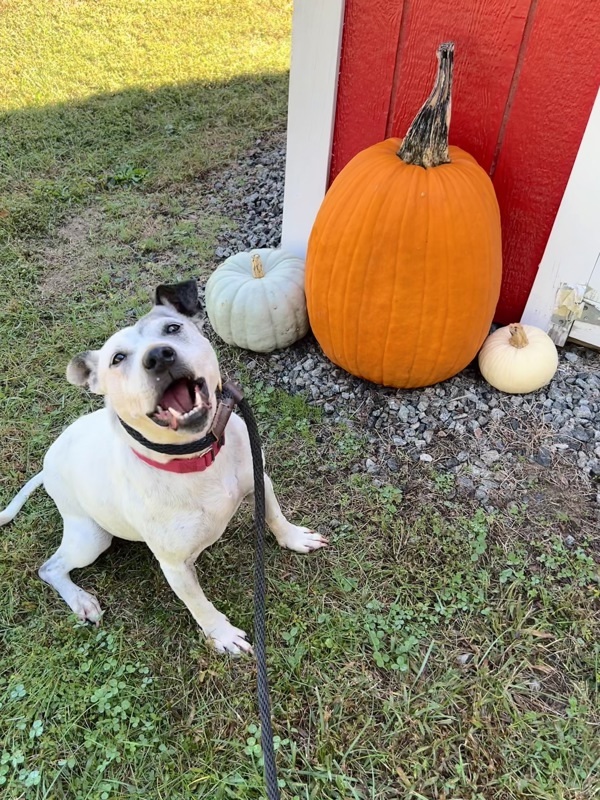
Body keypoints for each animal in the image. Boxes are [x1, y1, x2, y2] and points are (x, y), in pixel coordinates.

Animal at [0, 284, 326, 652]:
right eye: (117, 358)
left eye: (172, 328)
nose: (158, 357)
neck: (197, 456)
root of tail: (47, 464)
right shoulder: (175, 566)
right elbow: (200, 605)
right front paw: (223, 634)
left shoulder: (260, 479)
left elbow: (274, 514)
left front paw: (294, 538)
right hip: (91, 537)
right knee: (50, 568)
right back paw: (81, 600)